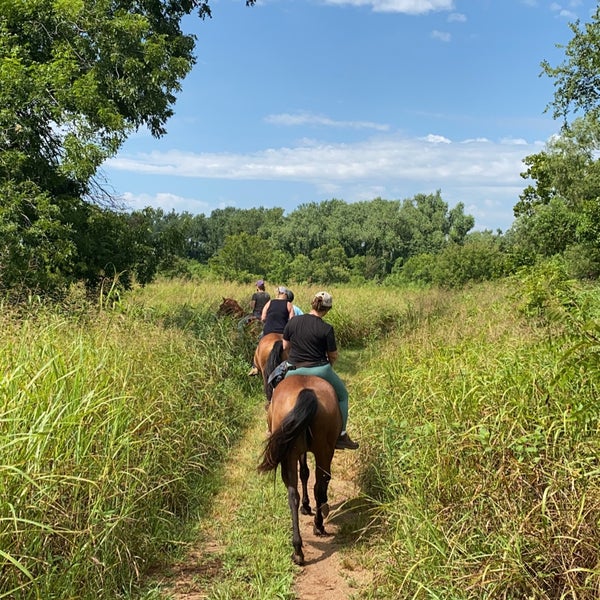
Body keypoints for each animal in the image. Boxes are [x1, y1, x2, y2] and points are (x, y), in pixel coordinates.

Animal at [256, 340, 342, 564]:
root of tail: (306, 392)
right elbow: (308, 475)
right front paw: (309, 506)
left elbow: (304, 474)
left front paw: (307, 506)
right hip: (322, 450)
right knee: (318, 485)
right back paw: (317, 526)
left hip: (292, 453)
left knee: (292, 493)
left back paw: (298, 549)